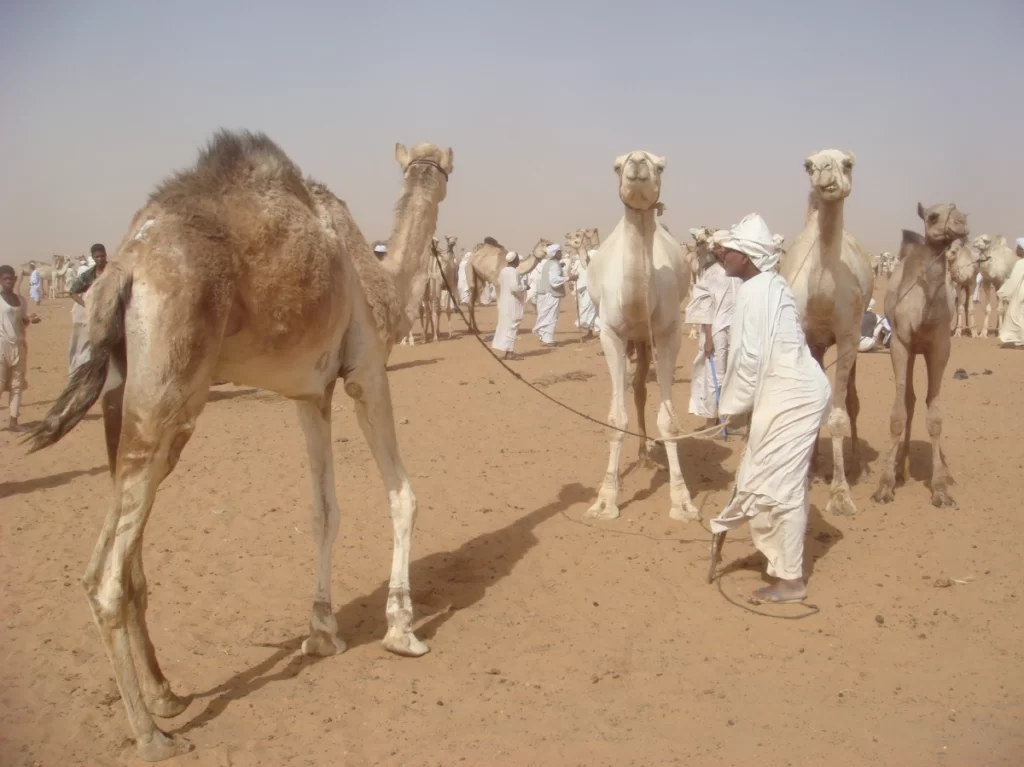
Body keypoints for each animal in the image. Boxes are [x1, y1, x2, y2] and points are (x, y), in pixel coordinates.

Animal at [22, 132, 454, 761]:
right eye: (444, 168)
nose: (441, 177)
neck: (384, 281)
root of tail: (125, 266)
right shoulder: (366, 372)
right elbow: (404, 495)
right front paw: (402, 629)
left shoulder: (311, 393)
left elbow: (324, 511)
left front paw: (321, 632)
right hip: (173, 384)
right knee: (103, 579)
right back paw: (152, 736)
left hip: (128, 399)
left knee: (126, 557)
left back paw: (167, 694)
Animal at [581, 149, 700, 520]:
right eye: (616, 165)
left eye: (660, 165)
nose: (637, 161)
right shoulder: (611, 334)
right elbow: (614, 416)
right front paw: (606, 499)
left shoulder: (668, 333)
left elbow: (670, 422)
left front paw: (682, 500)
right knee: (633, 390)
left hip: (646, 340)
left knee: (640, 389)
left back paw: (647, 454)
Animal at [872, 201, 966, 507]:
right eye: (933, 216)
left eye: (960, 211)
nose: (961, 223)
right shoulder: (901, 343)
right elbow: (898, 412)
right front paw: (884, 486)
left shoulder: (939, 347)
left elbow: (935, 416)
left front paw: (940, 489)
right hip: (910, 350)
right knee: (908, 399)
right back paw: (900, 467)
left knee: (915, 400)